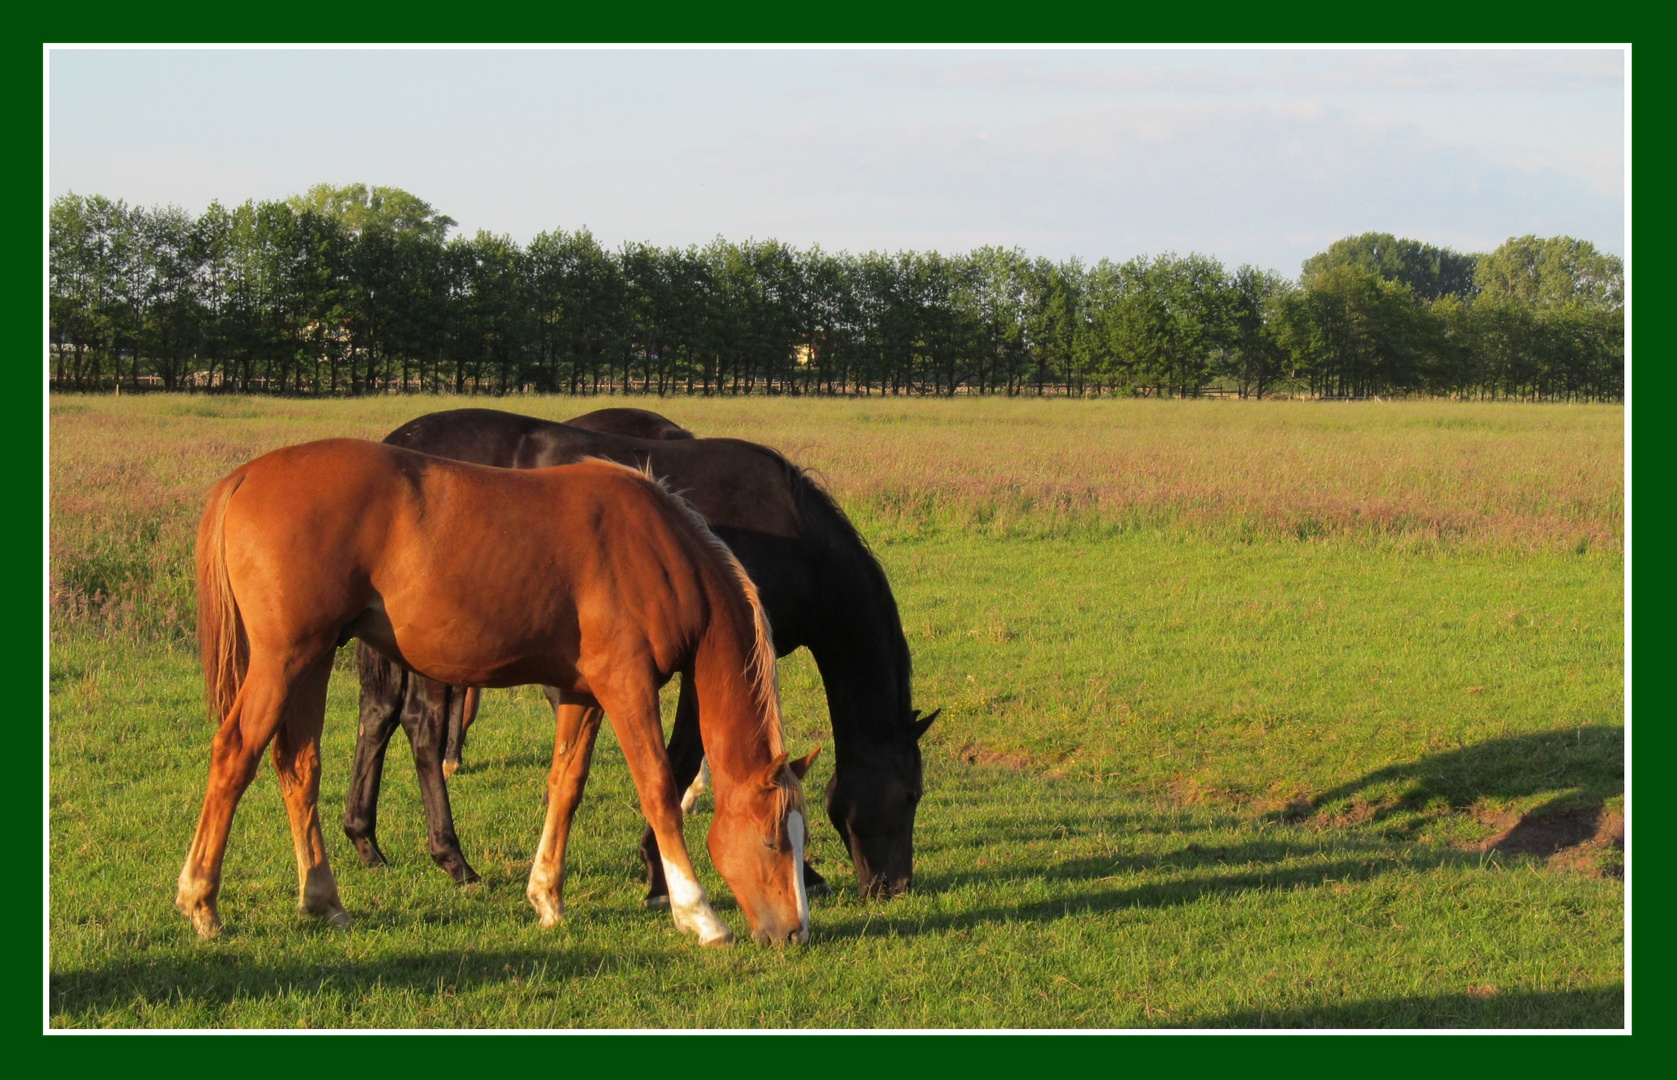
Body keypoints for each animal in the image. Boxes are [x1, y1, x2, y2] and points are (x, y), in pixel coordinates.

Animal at [175, 439, 811, 945]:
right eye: (773, 841)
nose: (794, 933)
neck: (656, 551)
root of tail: (246, 477)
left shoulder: (584, 694)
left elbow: (566, 785)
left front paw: (546, 897)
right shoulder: (626, 686)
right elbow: (657, 790)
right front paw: (699, 915)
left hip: (312, 659)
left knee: (299, 767)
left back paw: (324, 900)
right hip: (283, 660)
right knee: (234, 755)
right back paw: (202, 903)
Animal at [342, 405, 939, 905]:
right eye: (911, 794)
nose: (895, 886)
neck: (798, 538)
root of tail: (398, 442)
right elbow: (681, 760)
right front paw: (659, 873)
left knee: (379, 718)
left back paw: (368, 843)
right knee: (421, 729)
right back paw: (453, 859)